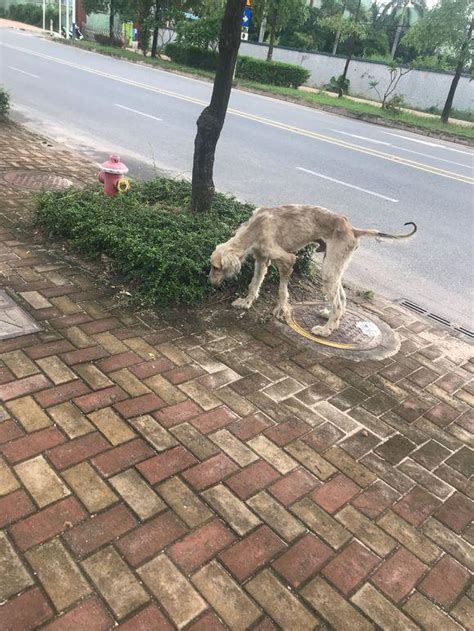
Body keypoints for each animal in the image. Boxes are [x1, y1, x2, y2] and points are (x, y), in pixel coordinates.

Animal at [209, 205, 416, 338]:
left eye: (216, 268)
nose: (209, 282)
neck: (256, 227)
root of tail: (352, 229)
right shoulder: (261, 260)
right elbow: (254, 284)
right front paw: (246, 303)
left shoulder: (288, 260)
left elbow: (282, 291)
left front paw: (280, 309)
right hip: (334, 267)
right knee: (342, 297)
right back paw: (332, 319)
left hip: (329, 269)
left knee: (338, 302)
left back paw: (326, 330)